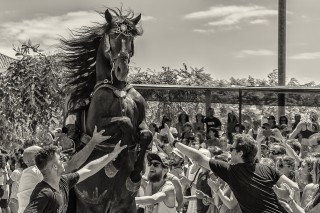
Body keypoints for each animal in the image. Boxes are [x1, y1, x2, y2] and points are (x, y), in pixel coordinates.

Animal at [61, 7, 154, 212]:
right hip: (92, 205)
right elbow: (125, 122)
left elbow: (146, 134)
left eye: (130, 38)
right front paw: (118, 160)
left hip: (126, 205)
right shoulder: (97, 124)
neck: (118, 87)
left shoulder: (142, 123)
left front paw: (135, 173)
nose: (121, 69)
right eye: (112, 36)